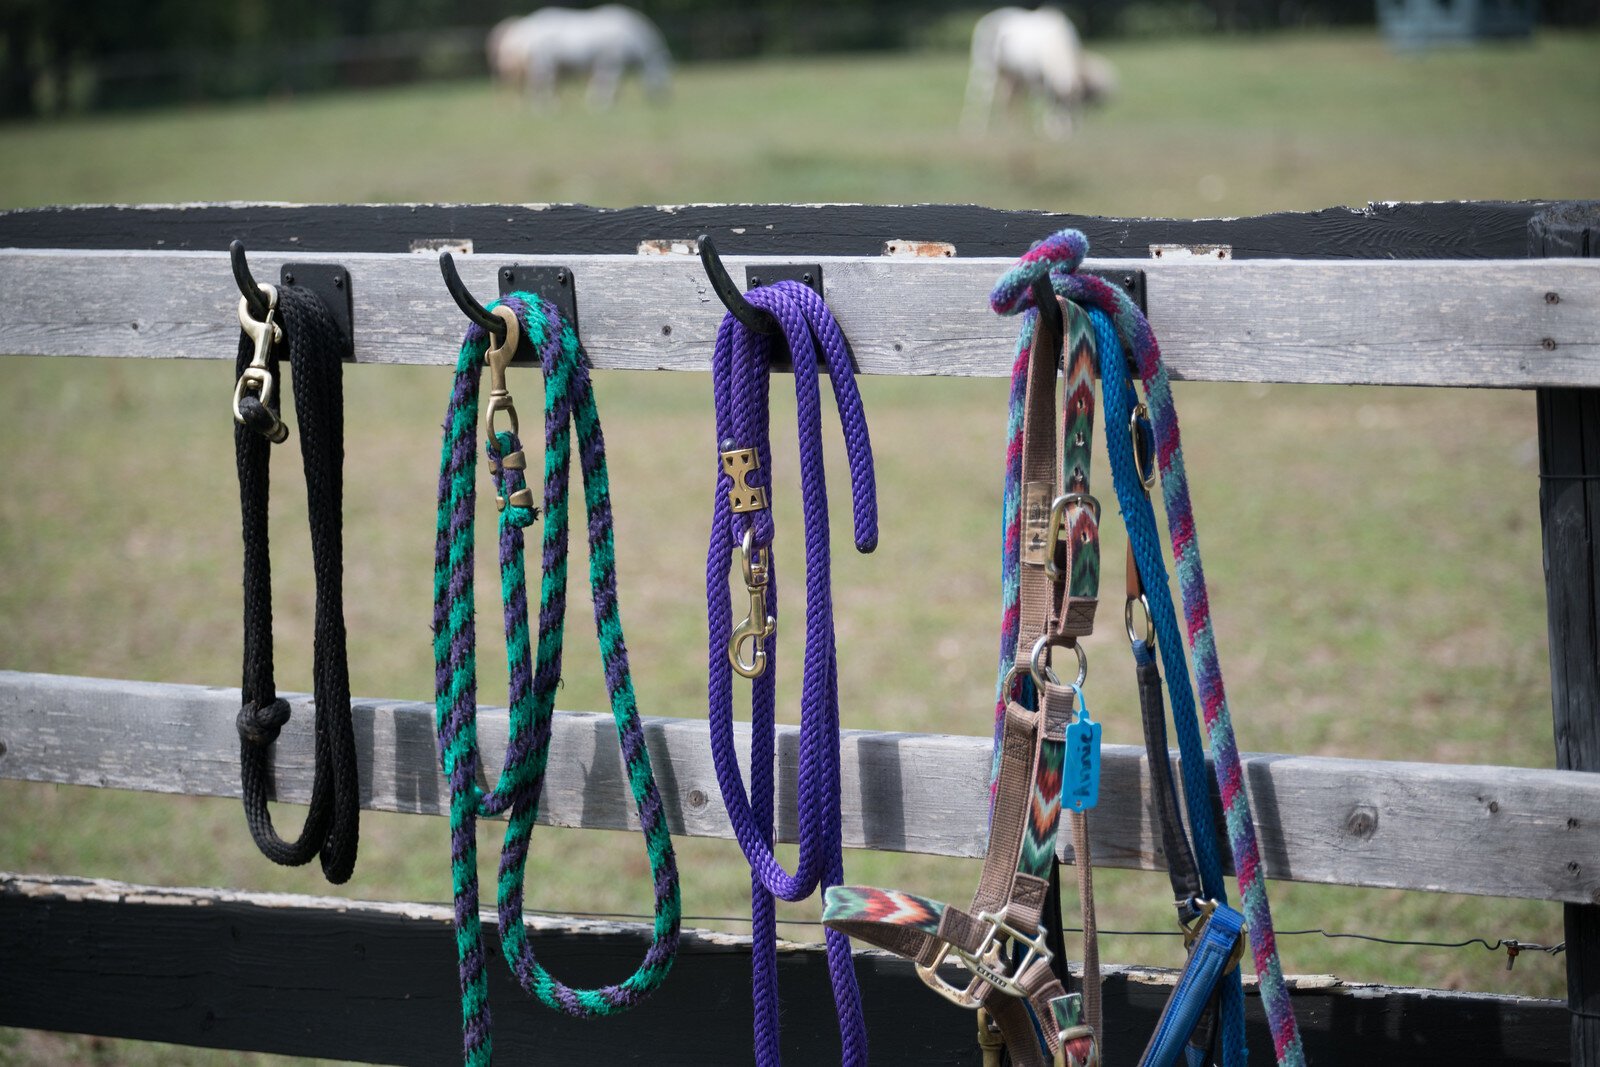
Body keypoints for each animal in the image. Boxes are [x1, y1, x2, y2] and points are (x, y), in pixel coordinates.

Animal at [486, 5, 668, 108]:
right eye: (664, 75)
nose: (668, 98)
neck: (630, 36)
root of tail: (526, 27)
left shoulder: (607, 65)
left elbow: (611, 84)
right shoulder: (610, 63)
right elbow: (607, 83)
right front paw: (601, 105)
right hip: (544, 65)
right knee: (540, 84)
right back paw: (546, 108)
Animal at [953, 5, 1120, 137]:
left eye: (1073, 108)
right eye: (1059, 107)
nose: (1065, 133)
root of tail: (989, 17)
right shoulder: (1034, 77)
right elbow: (1040, 99)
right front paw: (1043, 127)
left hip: (1013, 77)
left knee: (1010, 99)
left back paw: (1013, 127)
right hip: (985, 68)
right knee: (981, 95)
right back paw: (974, 126)